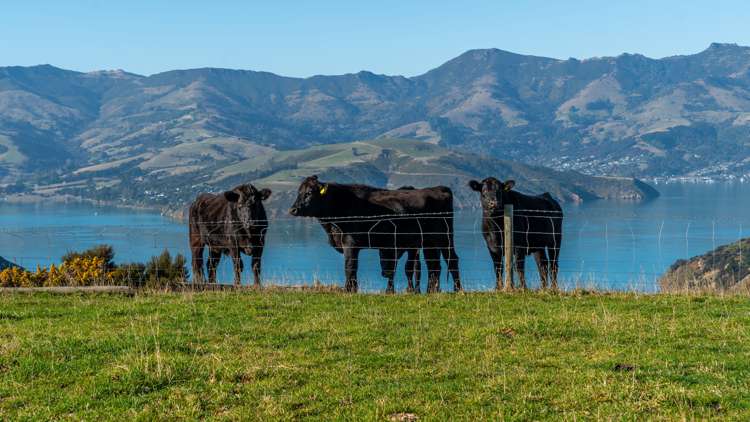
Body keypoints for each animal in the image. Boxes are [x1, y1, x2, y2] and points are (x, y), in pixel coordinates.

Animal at [290, 176, 462, 294]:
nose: (293, 209)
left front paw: (349, 289)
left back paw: (458, 289)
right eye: (299, 192)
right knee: (433, 265)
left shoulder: (350, 243)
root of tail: (439, 188)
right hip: (428, 243)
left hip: (444, 238)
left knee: (452, 260)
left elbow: (350, 266)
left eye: (309, 193)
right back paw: (431, 291)